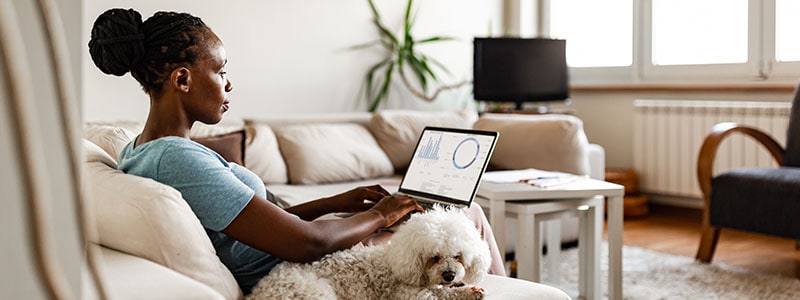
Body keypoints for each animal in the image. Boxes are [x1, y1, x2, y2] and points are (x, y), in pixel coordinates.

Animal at [247, 206, 490, 300]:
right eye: (434, 257)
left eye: (458, 255)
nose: (449, 275)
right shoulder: (408, 294)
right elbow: (439, 295)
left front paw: (469, 290)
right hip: (314, 293)